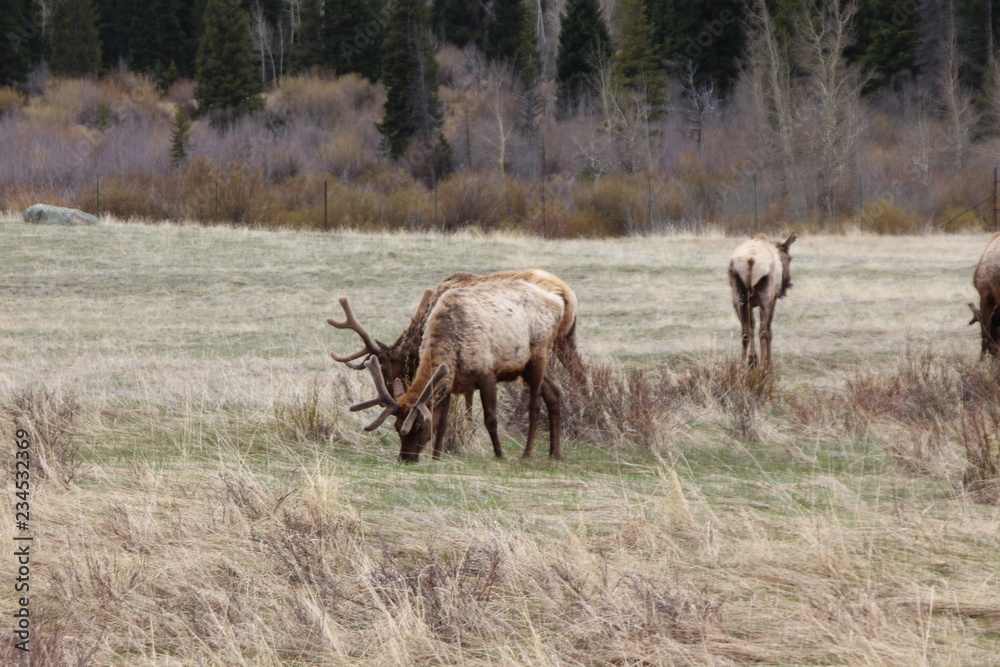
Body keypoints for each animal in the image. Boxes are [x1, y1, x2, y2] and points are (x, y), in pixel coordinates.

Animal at [344, 279, 565, 463]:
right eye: (397, 427)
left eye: (420, 426)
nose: (405, 458)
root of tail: (558, 303)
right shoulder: (450, 383)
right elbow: (443, 423)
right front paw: (436, 456)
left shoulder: (487, 374)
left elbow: (490, 419)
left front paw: (499, 454)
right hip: (525, 366)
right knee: (554, 393)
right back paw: (555, 453)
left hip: (539, 354)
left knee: (535, 405)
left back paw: (527, 453)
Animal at [728, 233, 796, 372]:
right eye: (790, 258)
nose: (787, 284)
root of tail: (751, 260)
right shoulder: (773, 299)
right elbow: (769, 329)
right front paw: (768, 364)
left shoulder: (749, 304)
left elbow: (751, 325)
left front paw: (752, 358)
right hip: (766, 297)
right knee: (764, 331)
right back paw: (763, 368)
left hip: (739, 297)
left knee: (745, 331)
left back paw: (742, 365)